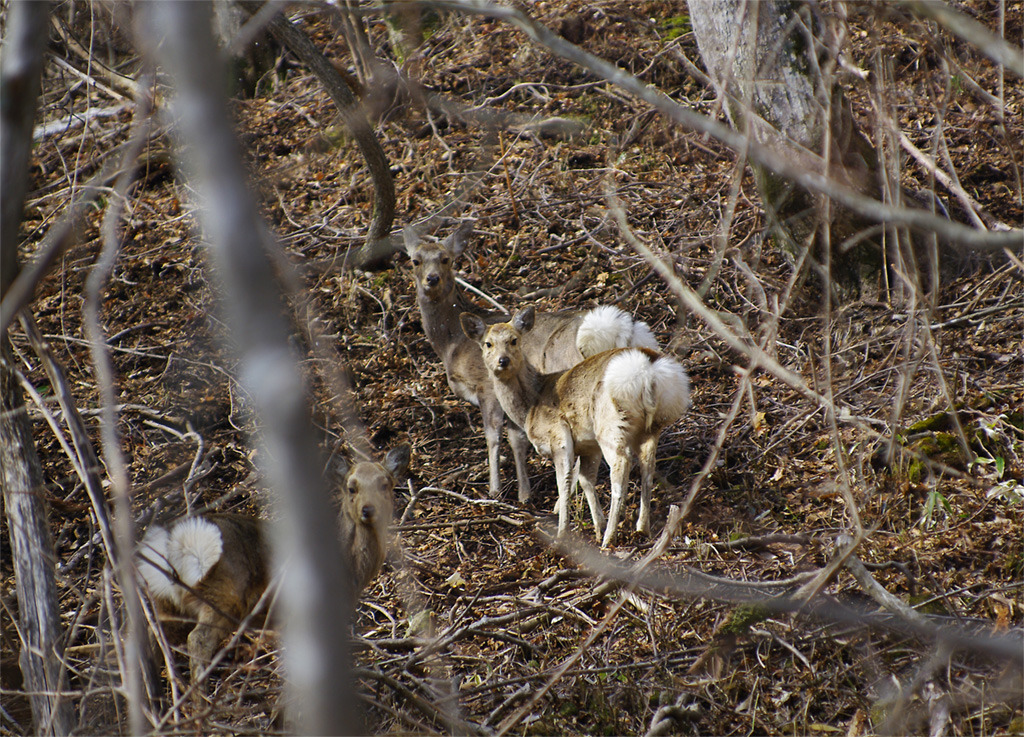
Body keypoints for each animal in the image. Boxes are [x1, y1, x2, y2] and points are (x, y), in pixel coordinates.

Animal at [136, 440, 407, 683]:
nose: (368, 509)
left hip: (167, 602)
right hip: (222, 595)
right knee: (198, 640)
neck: (350, 568)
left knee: (152, 635)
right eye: (352, 488)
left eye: (385, 484)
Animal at [401, 222, 655, 503]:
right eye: (414, 260)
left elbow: (493, 436)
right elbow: (517, 439)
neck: (451, 345)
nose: (432, 279)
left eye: (446, 259)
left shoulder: (487, 386)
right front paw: (524, 494)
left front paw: (495, 490)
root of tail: (621, 330)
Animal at [462, 305, 688, 548]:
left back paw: (609, 538)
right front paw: (596, 527)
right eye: (488, 343)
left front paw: (563, 534)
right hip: (653, 426)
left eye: (514, 340)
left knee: (620, 470)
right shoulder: (588, 446)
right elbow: (586, 480)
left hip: (610, 424)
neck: (530, 406)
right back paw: (640, 529)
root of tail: (648, 370)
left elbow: (564, 482)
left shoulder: (559, 436)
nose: (502, 361)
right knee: (648, 469)